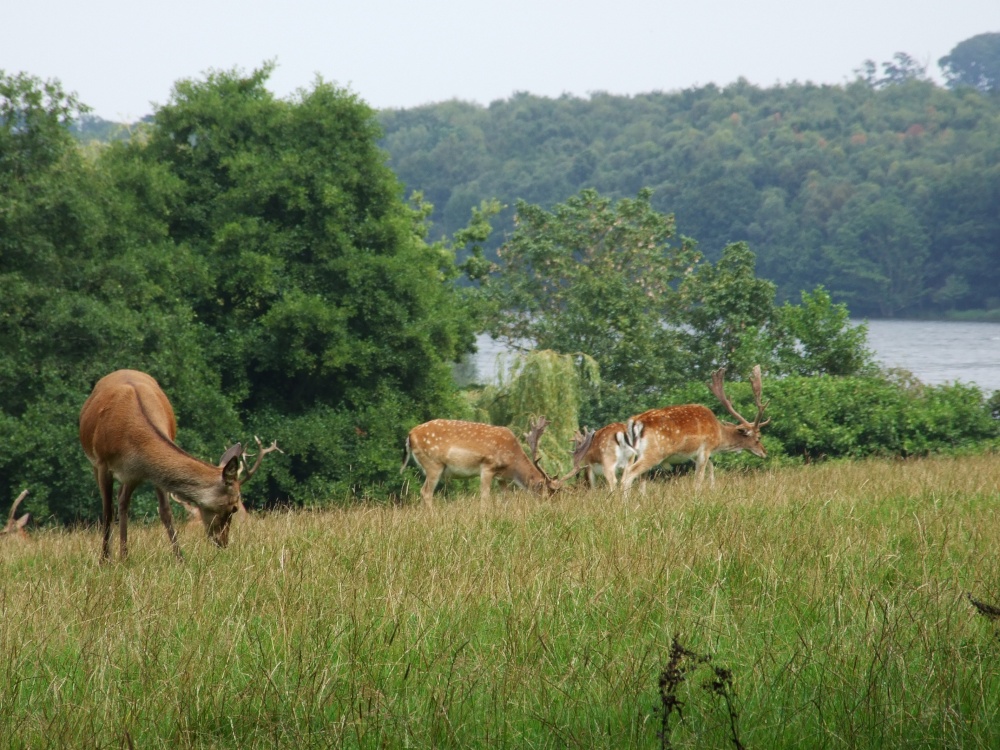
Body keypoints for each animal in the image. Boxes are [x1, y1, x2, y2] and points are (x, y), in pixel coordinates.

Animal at [79, 369, 278, 561]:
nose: (223, 542)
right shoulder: (103, 463)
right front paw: (104, 560)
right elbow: (107, 512)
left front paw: (180, 558)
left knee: (123, 501)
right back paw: (117, 556)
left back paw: (125, 556)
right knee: (116, 505)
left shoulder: (148, 472)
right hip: (98, 463)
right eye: (234, 507)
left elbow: (166, 511)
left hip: (132, 477)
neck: (132, 437)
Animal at [400, 416, 564, 505]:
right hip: (433, 464)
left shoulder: (501, 477)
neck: (512, 462)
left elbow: (507, 497)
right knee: (426, 492)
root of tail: (410, 435)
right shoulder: (487, 466)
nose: (551, 509)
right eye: (547, 495)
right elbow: (485, 496)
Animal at [619, 365, 770, 493]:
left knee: (636, 477)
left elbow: (711, 468)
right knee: (629, 474)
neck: (719, 436)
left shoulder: (693, 455)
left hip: (633, 453)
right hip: (654, 452)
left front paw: (712, 489)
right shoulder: (705, 448)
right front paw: (698, 495)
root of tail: (634, 422)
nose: (764, 452)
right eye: (758, 437)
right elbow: (699, 478)